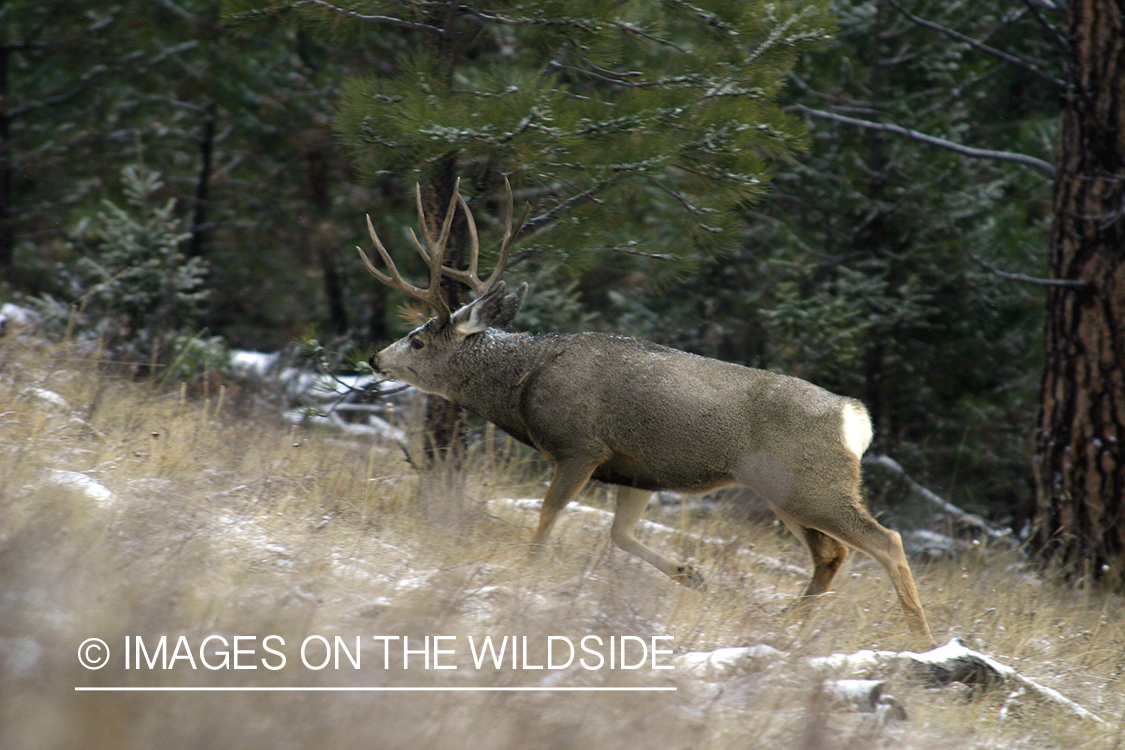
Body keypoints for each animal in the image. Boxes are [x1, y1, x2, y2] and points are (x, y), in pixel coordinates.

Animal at [359, 179, 936, 647]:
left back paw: (921, 639)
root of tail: (854, 417)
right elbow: (621, 534)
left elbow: (548, 514)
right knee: (831, 556)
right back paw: (784, 620)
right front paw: (692, 574)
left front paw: (527, 569)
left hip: (812, 484)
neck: (525, 383)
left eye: (416, 341)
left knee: (885, 542)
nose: (374, 358)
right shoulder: (637, 472)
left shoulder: (581, 445)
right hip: (785, 491)